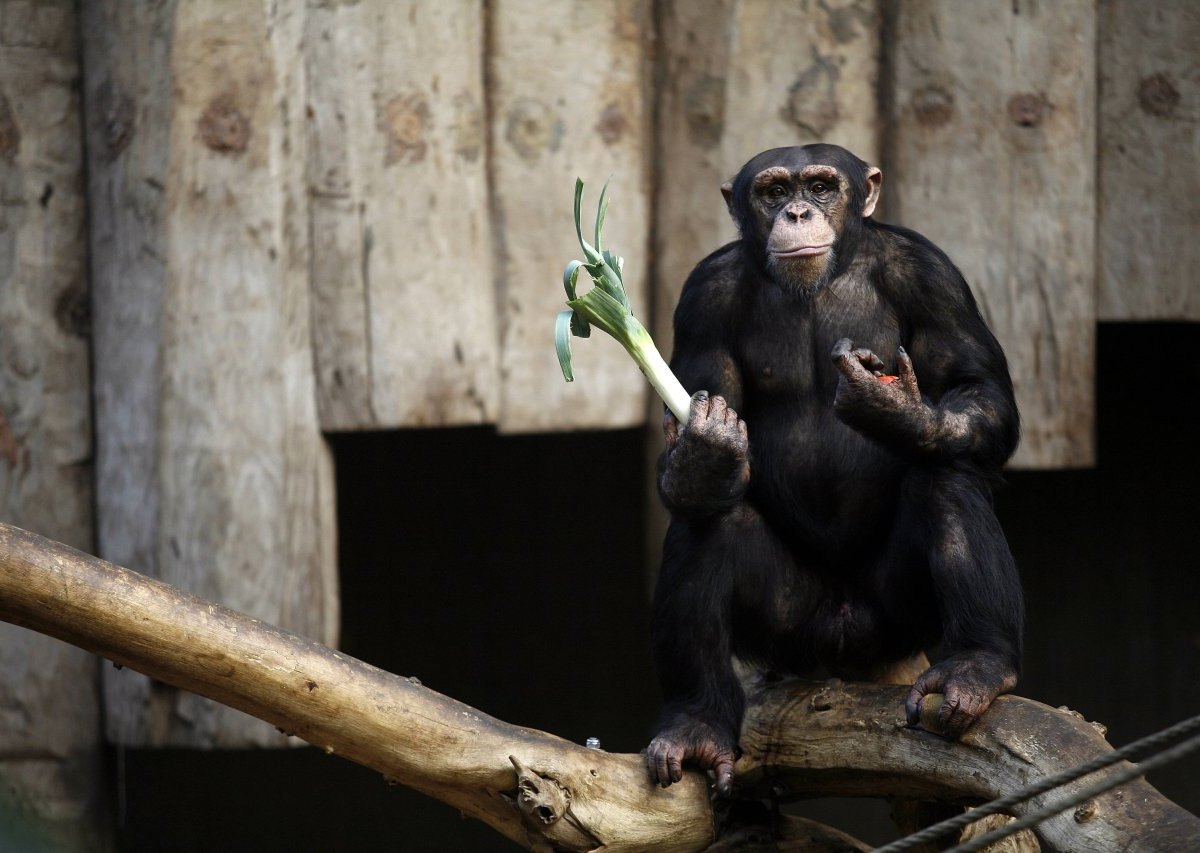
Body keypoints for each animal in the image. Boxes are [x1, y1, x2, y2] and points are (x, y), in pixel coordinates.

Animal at [648, 145, 1022, 791]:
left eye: (822, 187)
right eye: (773, 192)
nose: (797, 212)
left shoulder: (933, 277)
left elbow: (977, 385)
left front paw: (896, 410)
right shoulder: (702, 299)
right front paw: (701, 457)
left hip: (896, 617)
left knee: (946, 472)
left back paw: (978, 665)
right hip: (790, 630)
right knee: (708, 521)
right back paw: (696, 723)